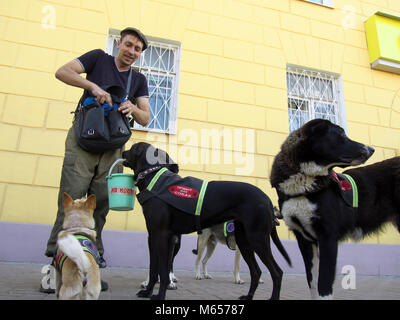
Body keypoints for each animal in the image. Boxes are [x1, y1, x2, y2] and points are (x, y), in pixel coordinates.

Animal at [122, 142, 290, 300]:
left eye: (132, 148)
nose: (123, 151)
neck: (153, 177)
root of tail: (266, 198)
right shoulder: (154, 236)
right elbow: (153, 268)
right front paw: (147, 291)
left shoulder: (162, 235)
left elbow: (162, 271)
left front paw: (160, 295)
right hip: (244, 242)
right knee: (256, 272)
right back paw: (248, 296)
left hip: (257, 239)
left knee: (277, 272)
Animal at [268, 119, 400, 298]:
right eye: (342, 135)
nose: (371, 149)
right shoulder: (305, 240)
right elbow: (312, 283)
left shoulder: (328, 237)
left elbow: (324, 284)